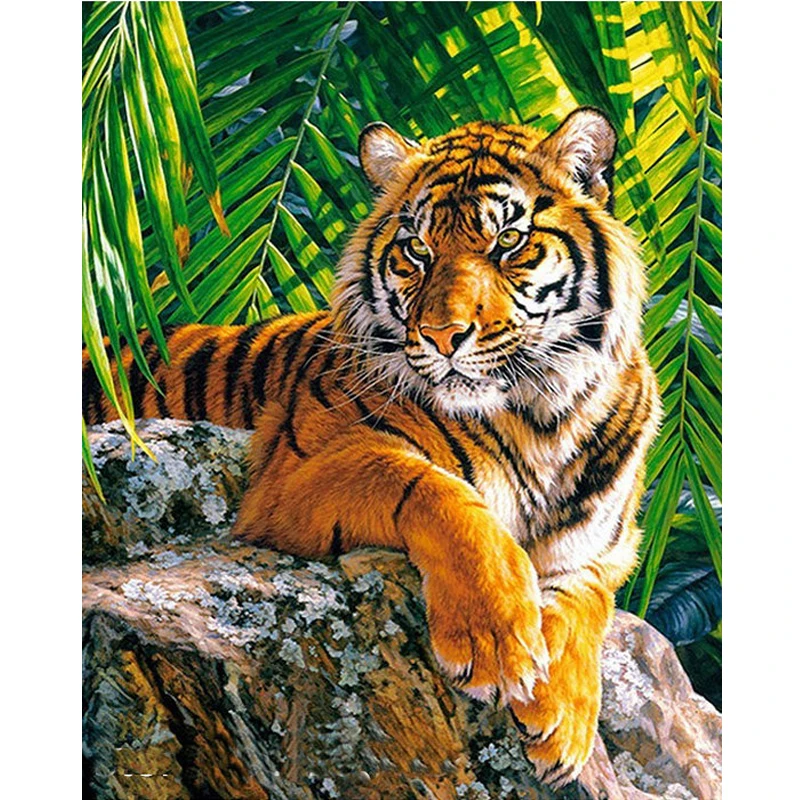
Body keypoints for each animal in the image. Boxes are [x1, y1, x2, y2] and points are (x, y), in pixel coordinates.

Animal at [83, 108, 661, 790]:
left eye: (507, 242)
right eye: (418, 249)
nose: (442, 336)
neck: (540, 415)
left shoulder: (607, 546)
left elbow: (583, 600)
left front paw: (564, 722)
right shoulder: (293, 473)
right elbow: (439, 492)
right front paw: (495, 640)